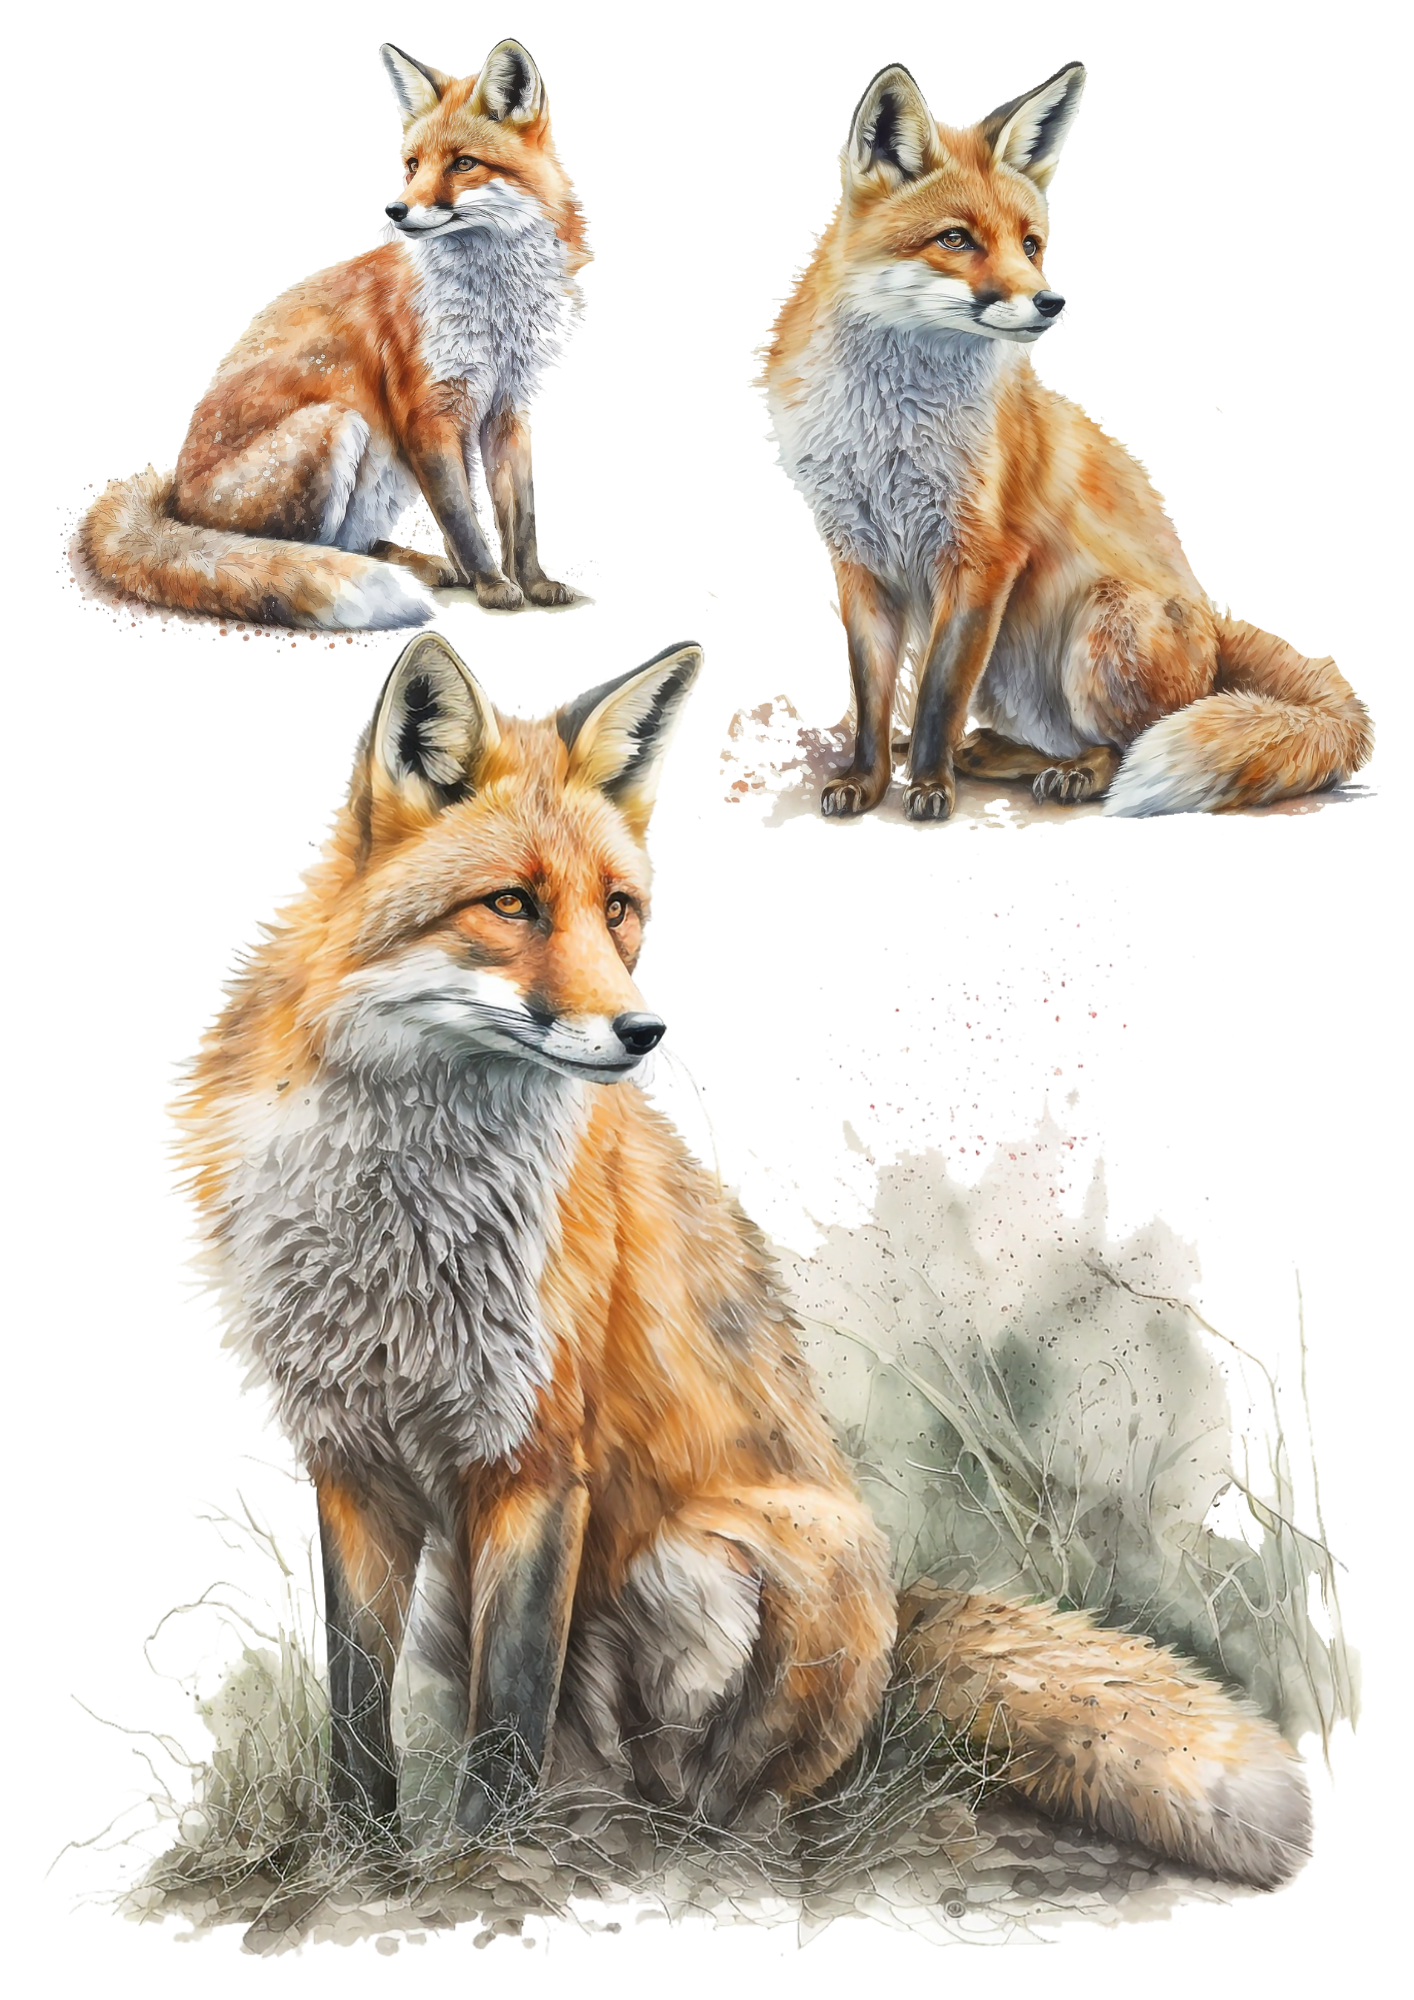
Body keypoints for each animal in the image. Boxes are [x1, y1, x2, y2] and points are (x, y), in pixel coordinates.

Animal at [80, 41, 586, 631]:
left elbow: (519, 519)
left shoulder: (507, 408)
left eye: (463, 163)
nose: (395, 210)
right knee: (290, 550)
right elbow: (462, 518)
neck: (495, 307)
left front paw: (532, 582)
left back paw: (421, 564)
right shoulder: (426, 413)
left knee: (354, 543)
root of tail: (174, 500)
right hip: (339, 425)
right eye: (412, 165)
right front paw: (491, 583)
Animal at [178, 630, 1310, 1887]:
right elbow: (357, 1714)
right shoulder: (350, 1459)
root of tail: (896, 1624)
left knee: (728, 1797)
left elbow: (506, 1714)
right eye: (511, 903)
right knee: (605, 1773)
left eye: (619, 909)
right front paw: (365, 1868)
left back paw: (680, 1850)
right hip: (468, 1591)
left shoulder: (537, 1460)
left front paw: (482, 1870)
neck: (404, 1210)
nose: (641, 1031)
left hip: (728, 1554)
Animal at [764, 62, 1372, 819]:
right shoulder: (856, 557)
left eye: (1031, 244)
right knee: (1046, 738)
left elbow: (937, 695)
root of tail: (1213, 622)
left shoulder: (983, 557)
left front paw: (929, 787)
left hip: (1102, 625)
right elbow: (872, 695)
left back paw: (1068, 773)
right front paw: (867, 780)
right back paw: (994, 752)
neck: (889, 434)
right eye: (955, 240)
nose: (1050, 301)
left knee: (1125, 744)